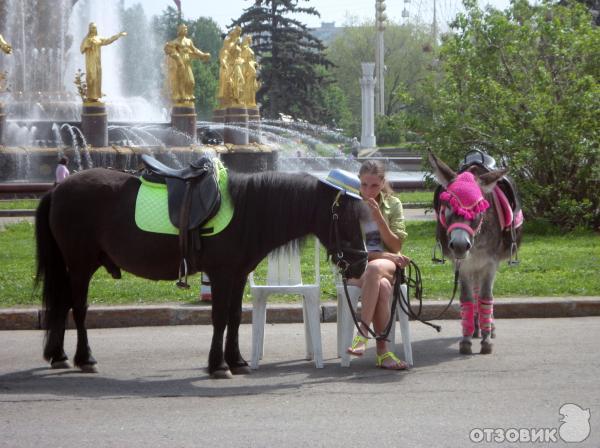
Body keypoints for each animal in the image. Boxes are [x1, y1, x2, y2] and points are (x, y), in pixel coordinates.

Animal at [37, 168, 368, 378]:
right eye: (347, 218)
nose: (362, 263)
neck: (246, 210)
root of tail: (57, 188)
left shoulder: (237, 276)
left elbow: (235, 318)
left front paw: (237, 361)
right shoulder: (221, 275)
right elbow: (219, 318)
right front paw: (219, 365)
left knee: (63, 304)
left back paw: (59, 355)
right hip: (80, 265)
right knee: (78, 308)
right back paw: (85, 358)